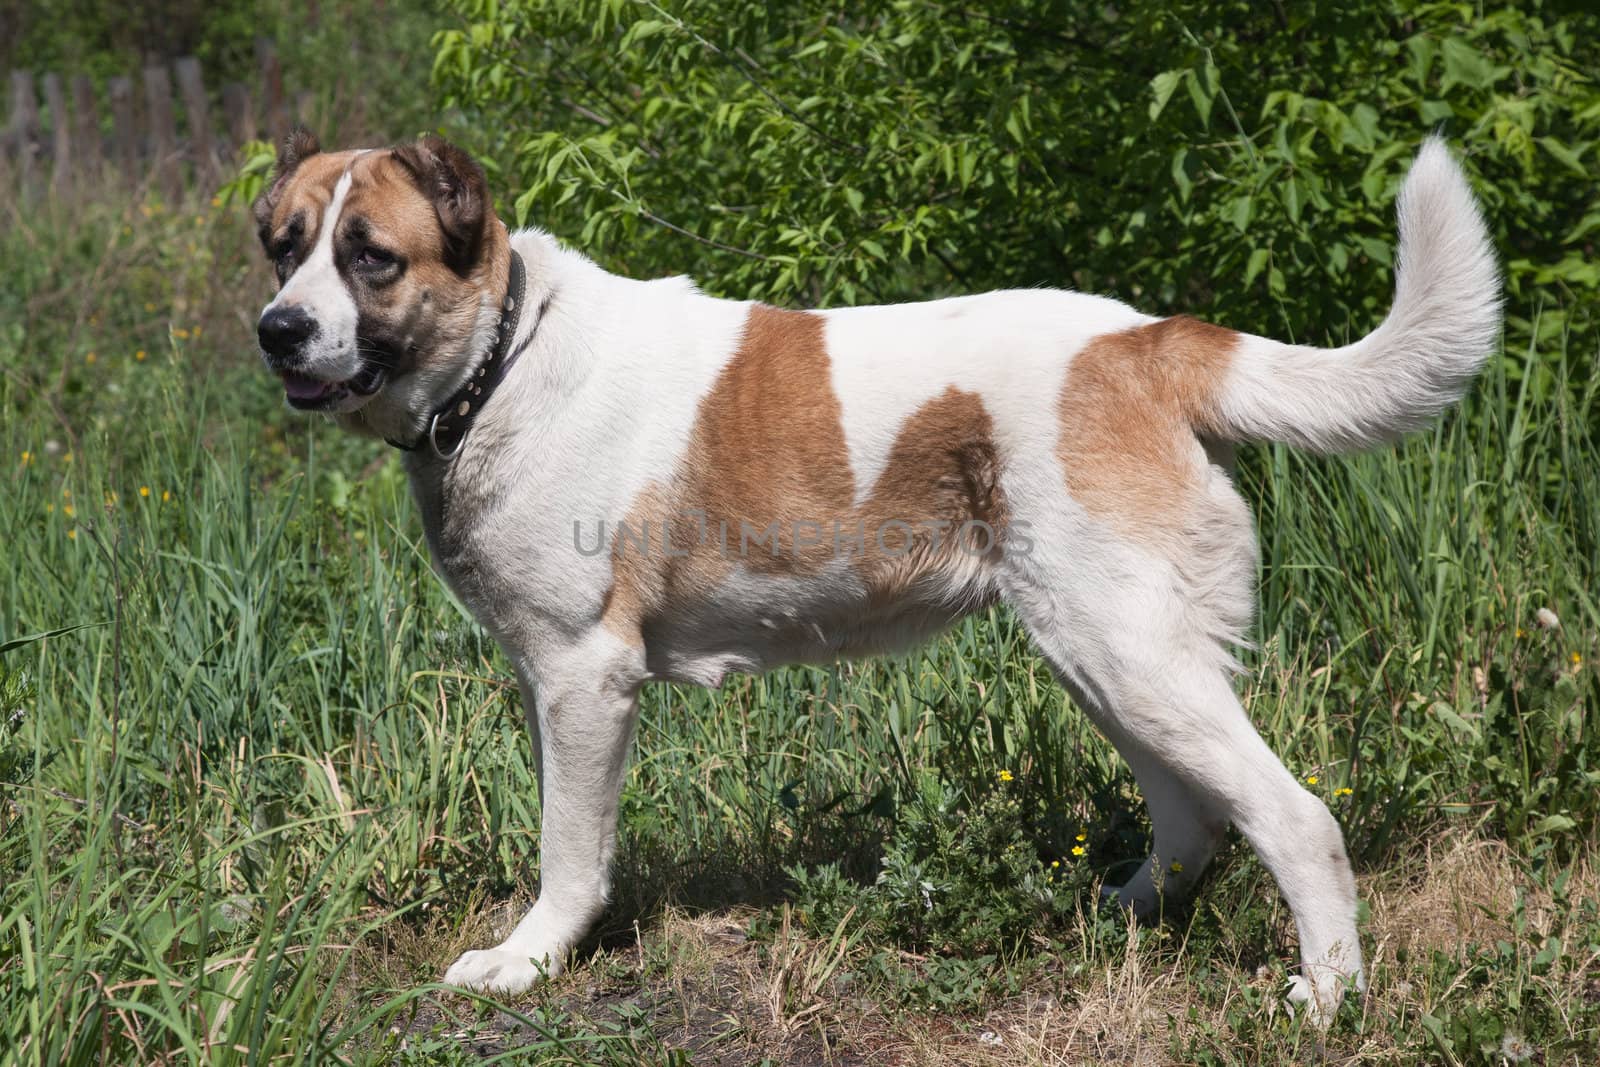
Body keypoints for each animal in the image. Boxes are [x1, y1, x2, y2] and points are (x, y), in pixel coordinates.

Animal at [249, 129, 1497, 1023]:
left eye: (370, 254)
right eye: (284, 245)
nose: (276, 328)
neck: (506, 353)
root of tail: (1144, 343)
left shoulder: (583, 679)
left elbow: (570, 848)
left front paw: (529, 959)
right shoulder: (541, 681)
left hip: (1130, 655)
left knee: (1294, 816)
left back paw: (1328, 997)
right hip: (1107, 656)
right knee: (1194, 810)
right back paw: (1118, 914)